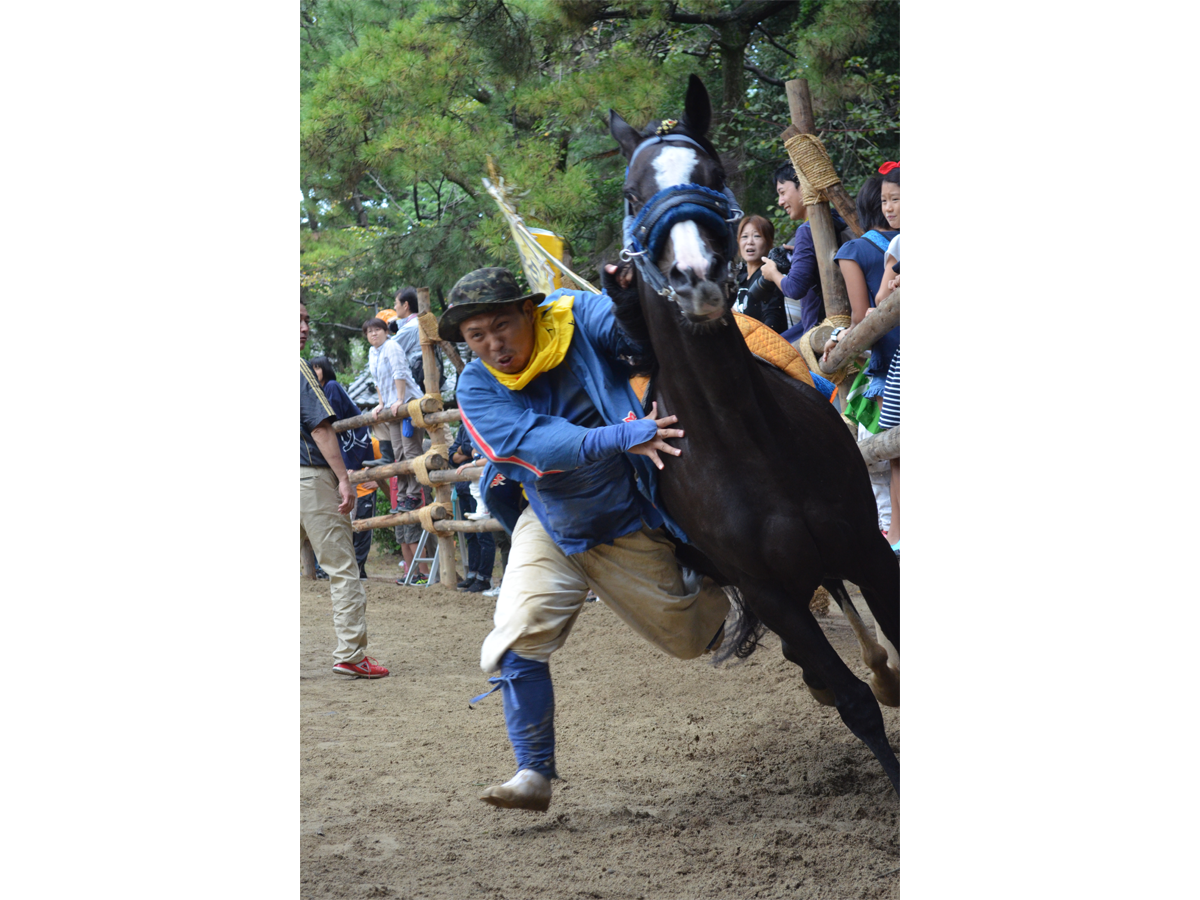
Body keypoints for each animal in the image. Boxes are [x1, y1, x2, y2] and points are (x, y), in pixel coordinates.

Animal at [609, 77, 902, 796]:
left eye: (712, 175)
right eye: (631, 193)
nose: (695, 277)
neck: (747, 446)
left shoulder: (867, 547)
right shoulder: (770, 592)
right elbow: (852, 700)